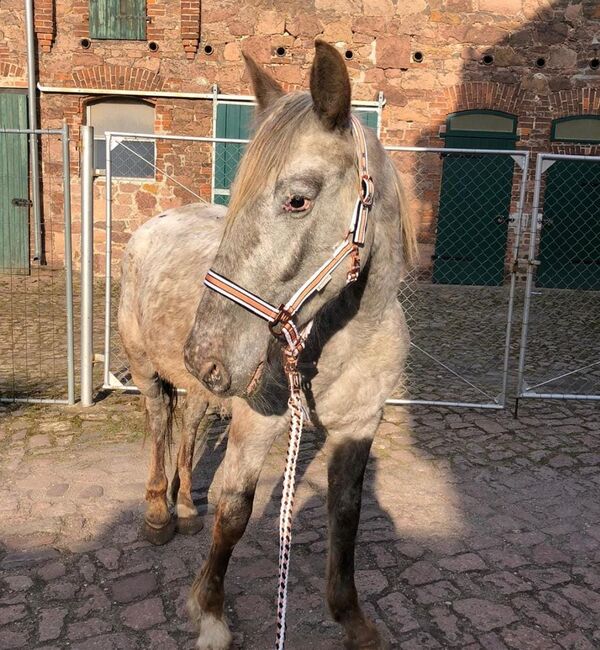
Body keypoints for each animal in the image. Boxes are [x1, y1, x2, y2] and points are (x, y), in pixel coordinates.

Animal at [184, 41, 418, 648]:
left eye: (296, 200)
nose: (206, 356)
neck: (339, 348)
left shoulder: (359, 427)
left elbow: (346, 515)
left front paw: (354, 621)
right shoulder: (256, 421)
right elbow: (234, 509)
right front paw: (210, 614)